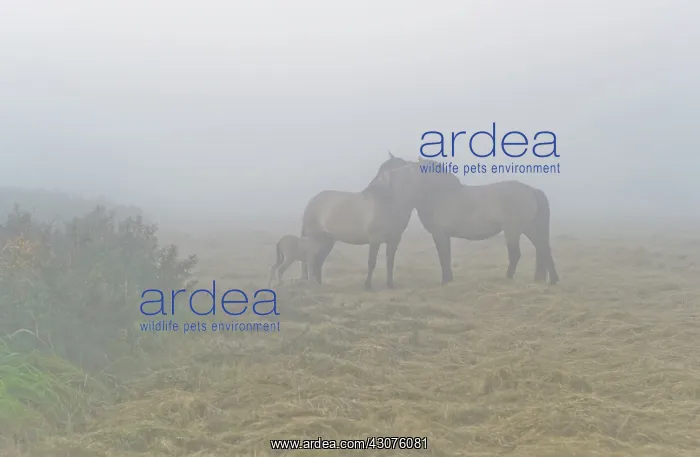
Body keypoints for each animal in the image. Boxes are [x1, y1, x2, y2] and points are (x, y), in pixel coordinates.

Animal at [299, 152, 416, 290]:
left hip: (327, 241)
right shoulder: (375, 239)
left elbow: (390, 262)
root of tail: (311, 202)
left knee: (319, 262)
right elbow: (371, 262)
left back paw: (319, 285)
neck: (388, 202)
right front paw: (367, 286)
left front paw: (390, 285)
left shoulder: (394, 240)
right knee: (309, 261)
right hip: (314, 239)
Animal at [369, 157, 560, 285]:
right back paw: (551, 280)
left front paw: (445, 280)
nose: (372, 187)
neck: (437, 194)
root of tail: (533, 191)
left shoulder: (440, 234)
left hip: (513, 230)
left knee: (516, 254)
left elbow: (443, 256)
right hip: (530, 228)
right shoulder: (444, 235)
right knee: (543, 248)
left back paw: (507, 278)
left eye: (386, 170)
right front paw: (448, 279)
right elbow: (445, 255)